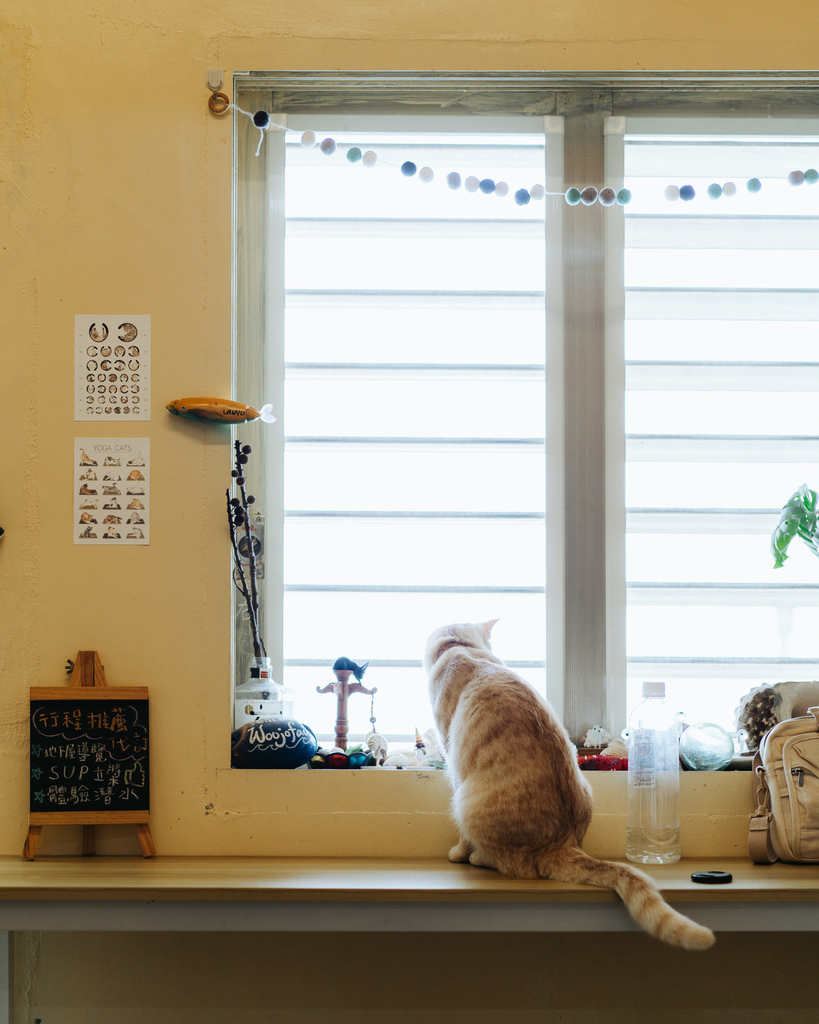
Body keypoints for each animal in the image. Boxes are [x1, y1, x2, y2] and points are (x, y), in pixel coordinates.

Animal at [425, 618, 712, 954]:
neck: (461, 648)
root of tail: (563, 841)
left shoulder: (453, 763)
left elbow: (461, 836)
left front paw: (458, 852)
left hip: (466, 803)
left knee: (513, 865)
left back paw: (477, 857)